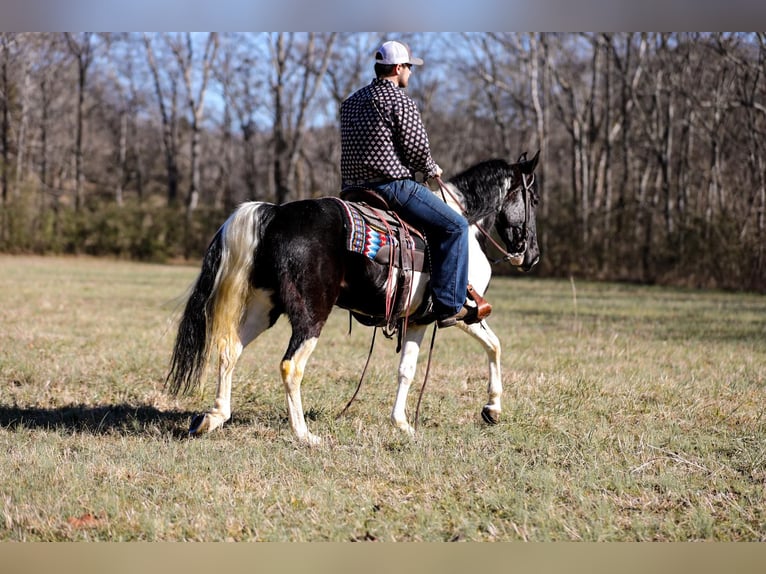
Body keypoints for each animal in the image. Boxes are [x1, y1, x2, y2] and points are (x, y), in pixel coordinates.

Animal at [166, 150, 544, 446]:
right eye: (534, 199)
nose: (532, 257)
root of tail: (276, 215)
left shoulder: (416, 320)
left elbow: (406, 370)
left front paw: (402, 423)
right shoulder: (460, 313)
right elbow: (494, 346)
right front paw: (492, 409)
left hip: (264, 306)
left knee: (230, 350)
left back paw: (214, 417)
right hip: (311, 314)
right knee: (291, 366)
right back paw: (304, 434)